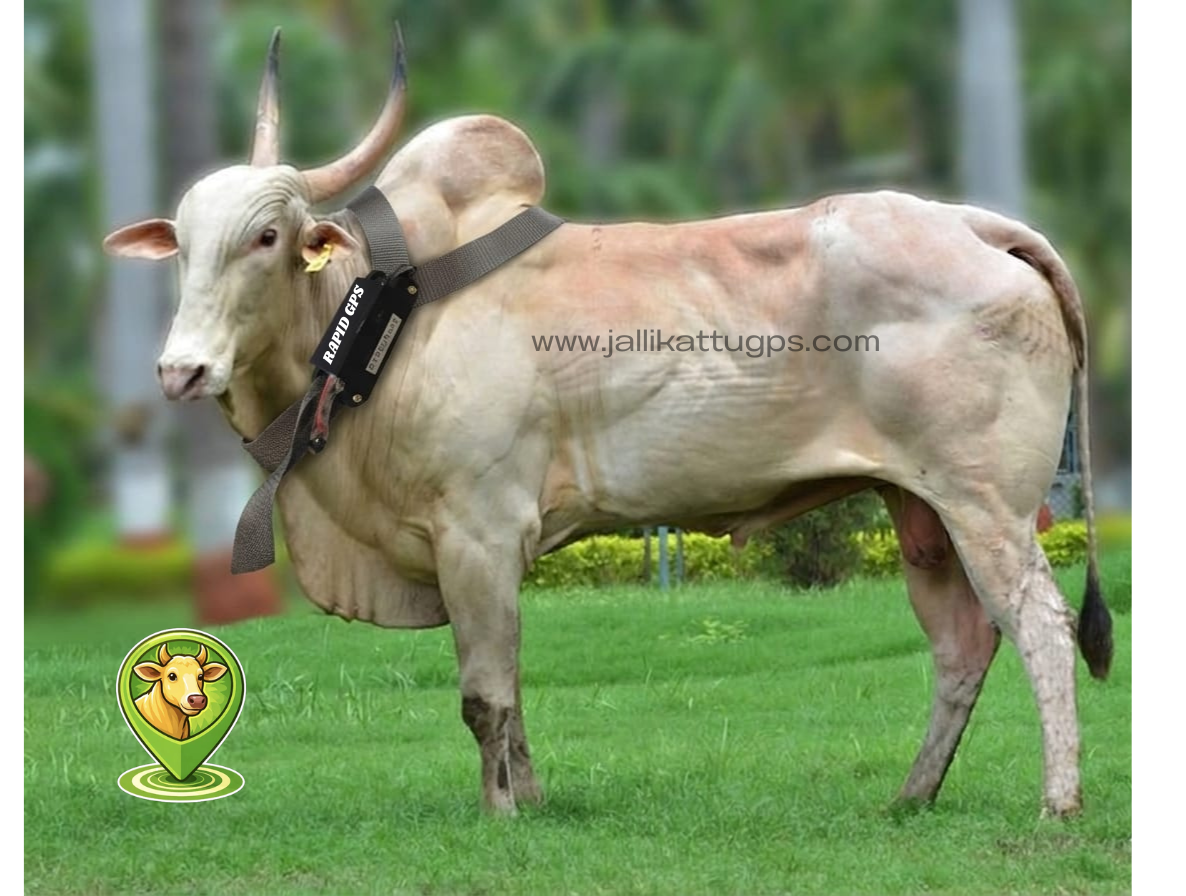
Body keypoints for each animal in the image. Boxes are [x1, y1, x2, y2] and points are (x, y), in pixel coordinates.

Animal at [103, 28, 1112, 817]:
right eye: (184, 244)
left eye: (266, 237)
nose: (180, 369)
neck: (381, 310)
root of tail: (981, 226)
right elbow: (511, 693)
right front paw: (535, 803)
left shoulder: (477, 534)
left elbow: (483, 696)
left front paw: (500, 816)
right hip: (920, 511)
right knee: (961, 643)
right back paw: (911, 797)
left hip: (986, 503)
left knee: (1040, 624)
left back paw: (1057, 803)